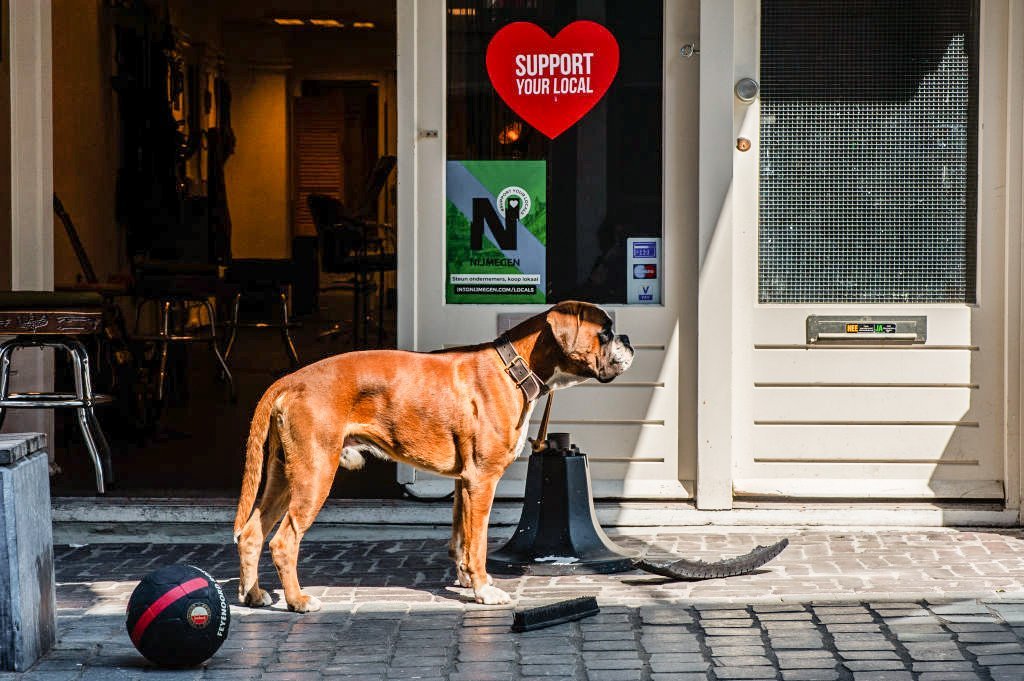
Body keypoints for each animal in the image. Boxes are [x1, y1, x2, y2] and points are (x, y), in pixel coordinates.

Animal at [233, 301, 630, 606]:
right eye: (605, 333)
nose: (626, 339)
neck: (515, 366)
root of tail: (291, 380)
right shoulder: (482, 481)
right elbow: (479, 542)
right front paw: (484, 590)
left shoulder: (464, 484)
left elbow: (462, 538)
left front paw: (469, 581)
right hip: (314, 475)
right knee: (284, 541)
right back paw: (298, 601)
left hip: (283, 477)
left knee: (252, 534)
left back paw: (253, 595)